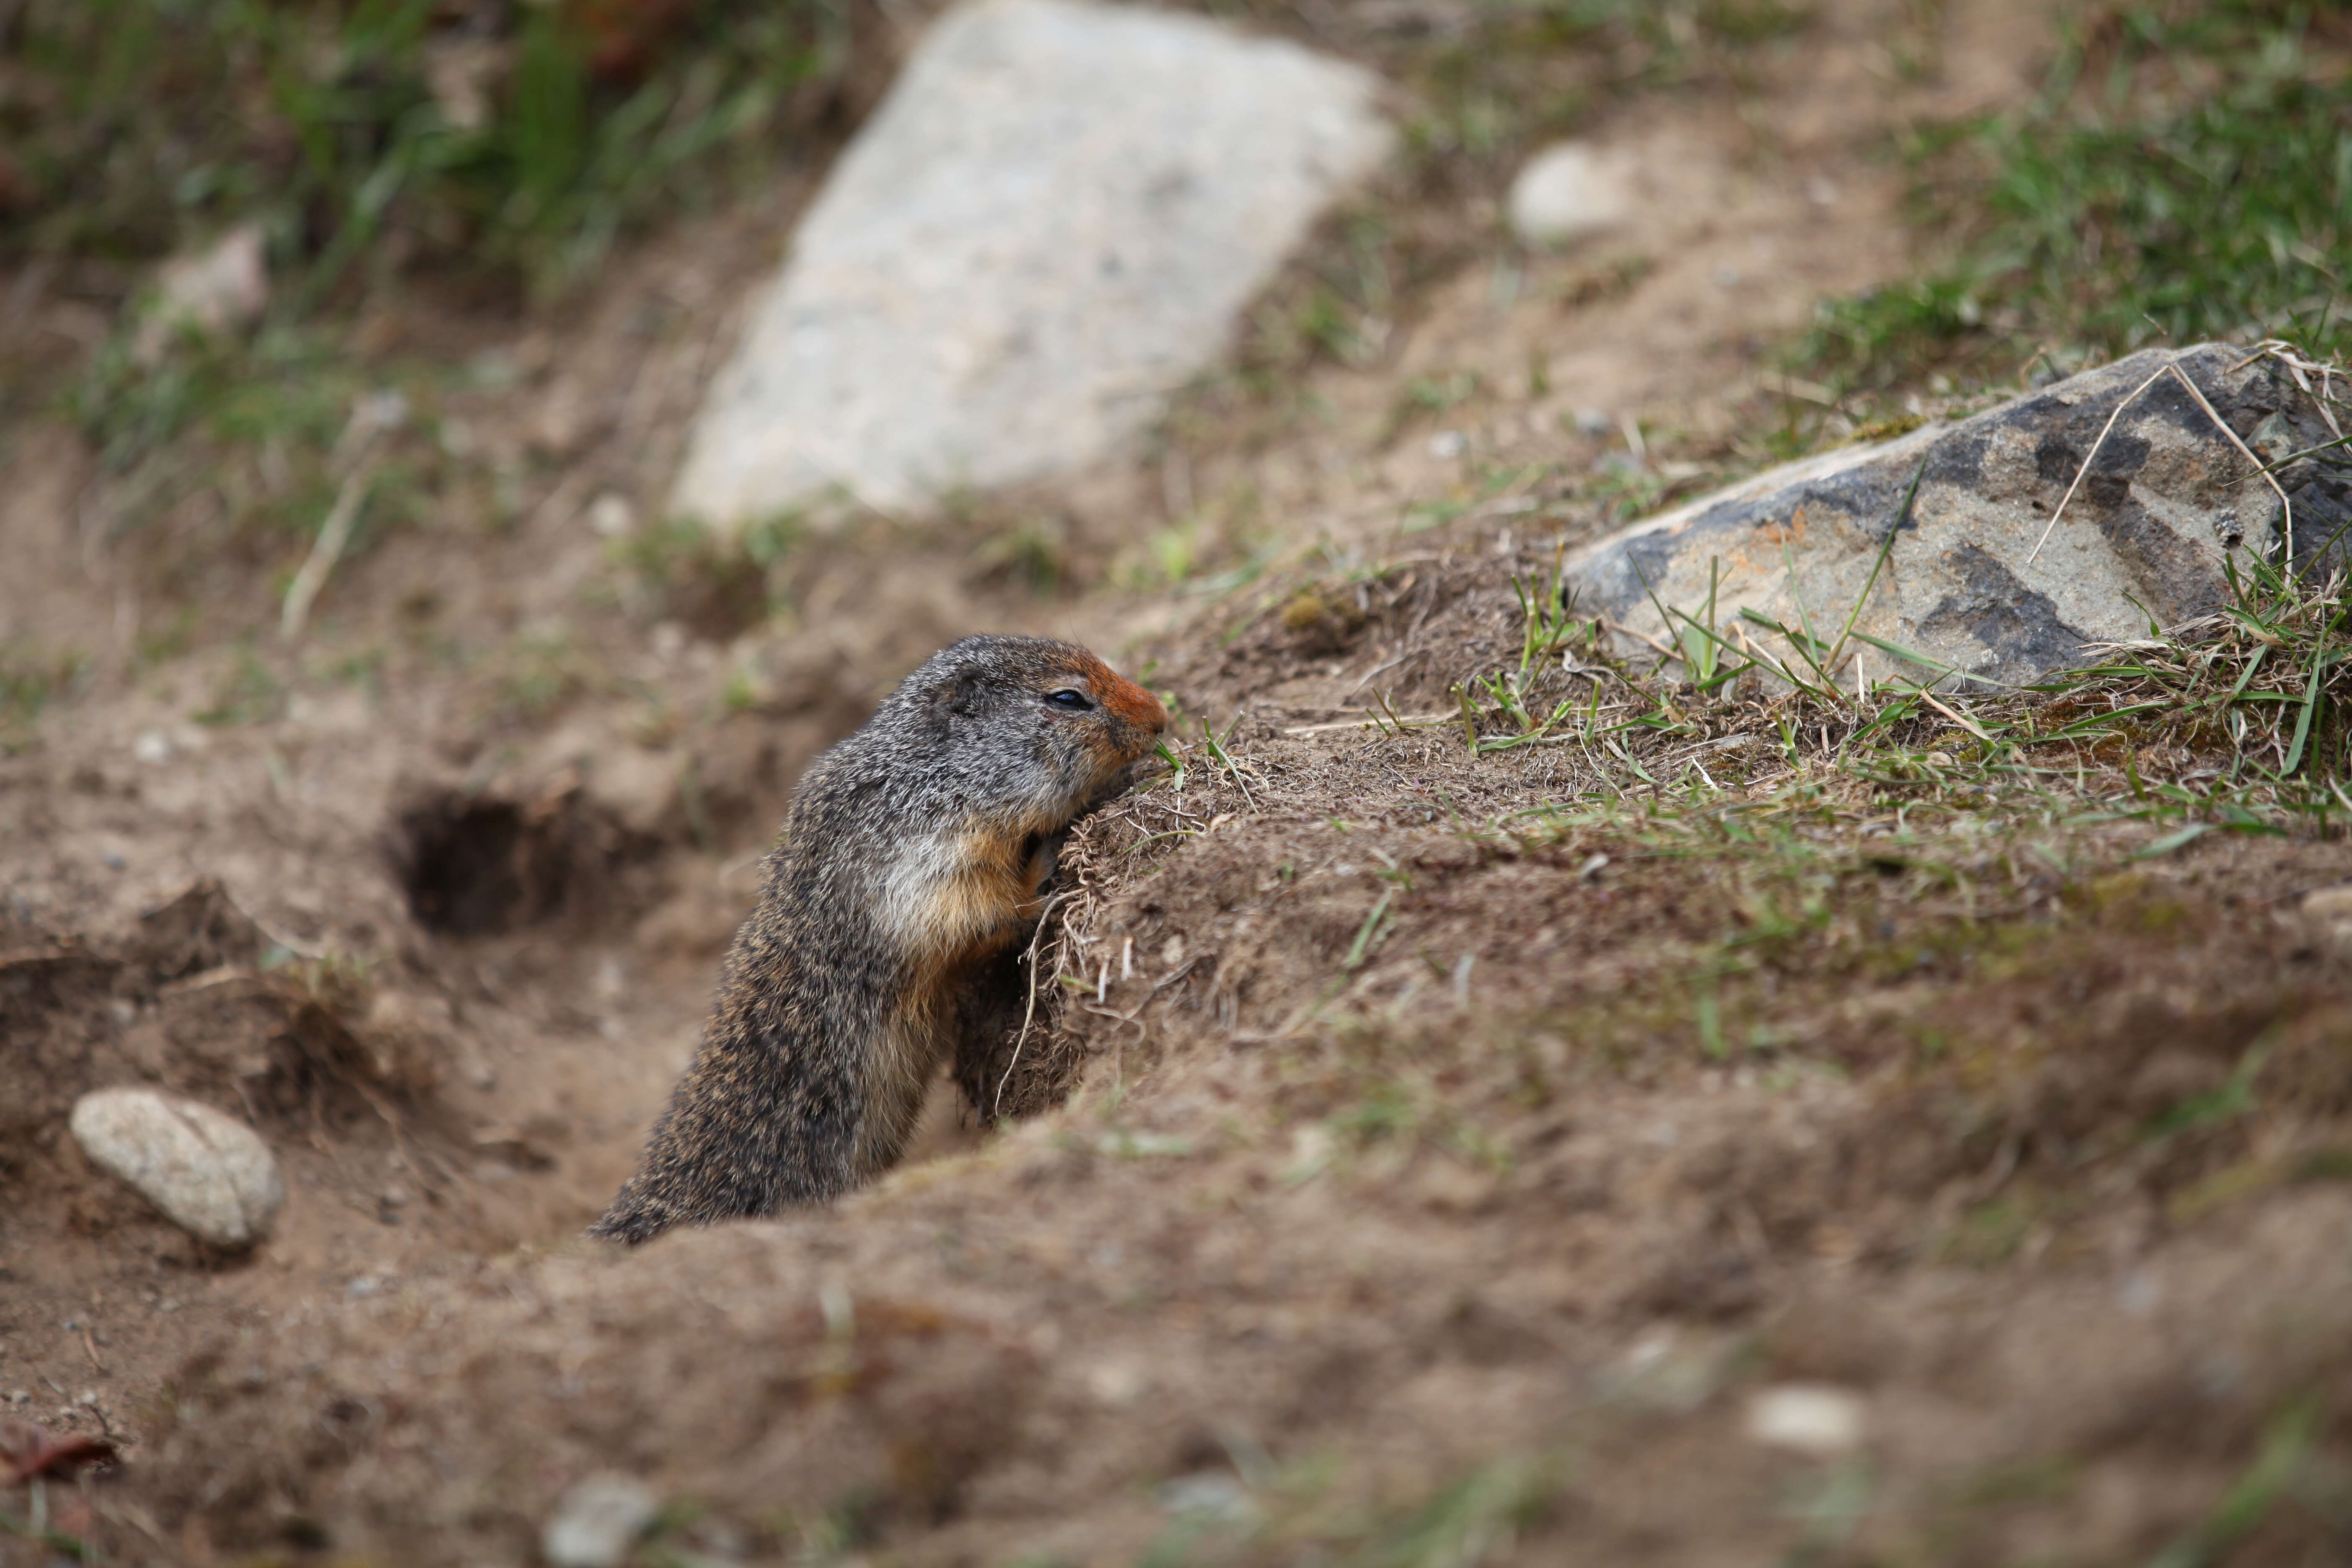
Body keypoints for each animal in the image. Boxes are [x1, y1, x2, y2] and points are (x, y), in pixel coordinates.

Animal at [597, 630, 1166, 1241]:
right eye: (1067, 699)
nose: (1161, 717)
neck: (934, 777)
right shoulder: (927, 862)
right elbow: (979, 912)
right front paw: (1044, 873)